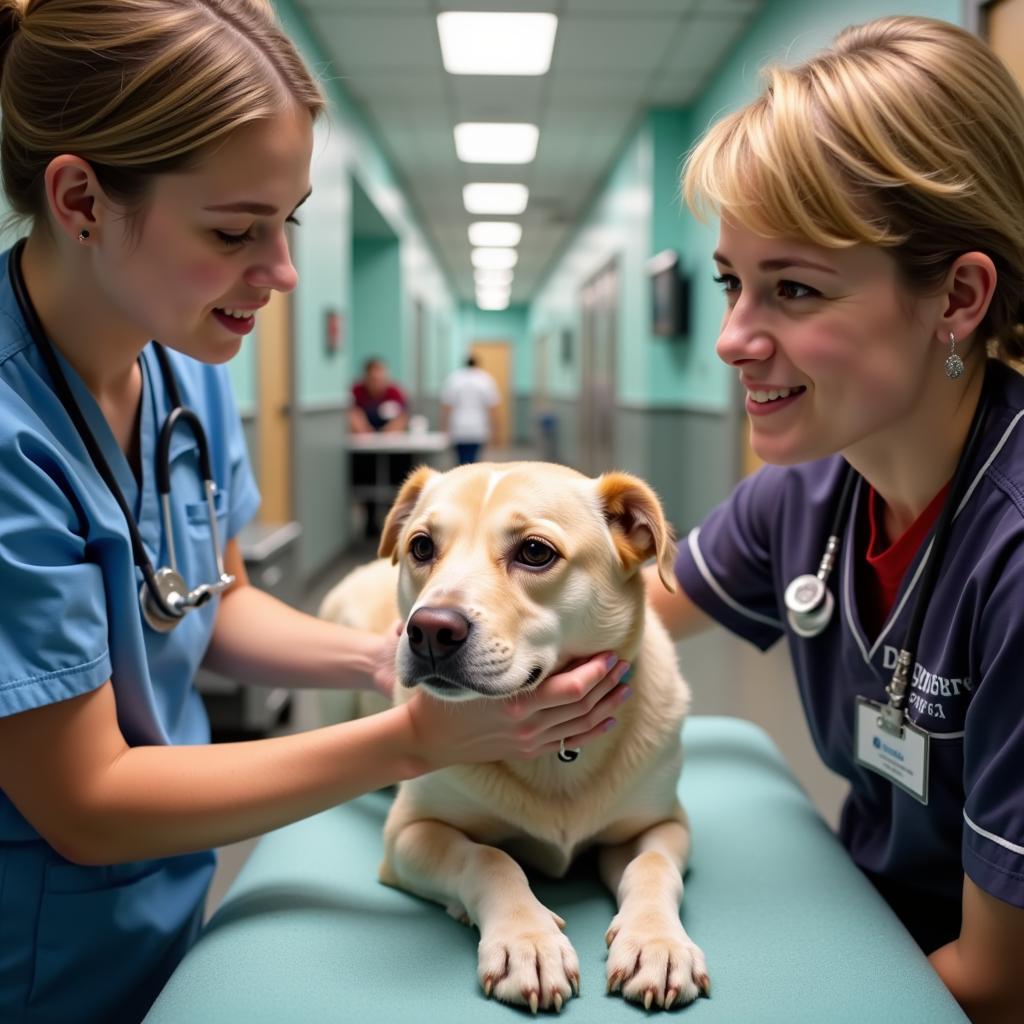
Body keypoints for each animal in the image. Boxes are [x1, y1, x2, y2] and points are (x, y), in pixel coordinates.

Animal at [317, 466, 704, 1015]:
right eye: (421, 546)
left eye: (535, 552)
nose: (428, 630)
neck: (555, 755)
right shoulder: (408, 834)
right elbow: (488, 858)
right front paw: (528, 942)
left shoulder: (663, 824)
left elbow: (651, 866)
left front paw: (657, 943)